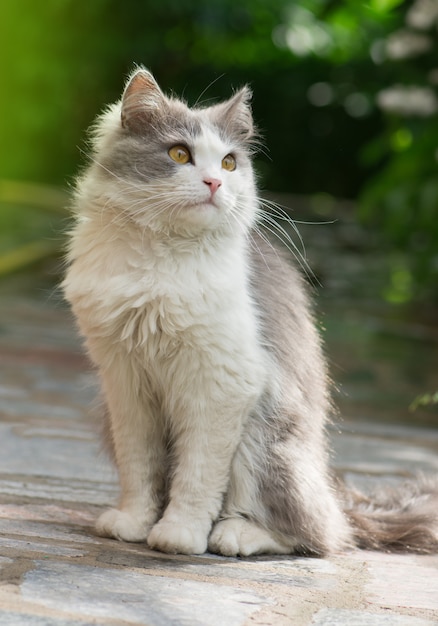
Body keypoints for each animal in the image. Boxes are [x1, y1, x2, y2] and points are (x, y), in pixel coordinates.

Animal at [63, 67, 438, 556]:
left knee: (315, 536)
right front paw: (133, 522)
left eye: (228, 163)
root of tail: (339, 499)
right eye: (180, 154)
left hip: (266, 434)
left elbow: (198, 475)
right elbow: (139, 467)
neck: (162, 258)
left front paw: (179, 535)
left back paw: (234, 535)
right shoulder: (125, 383)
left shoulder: (223, 382)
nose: (214, 184)